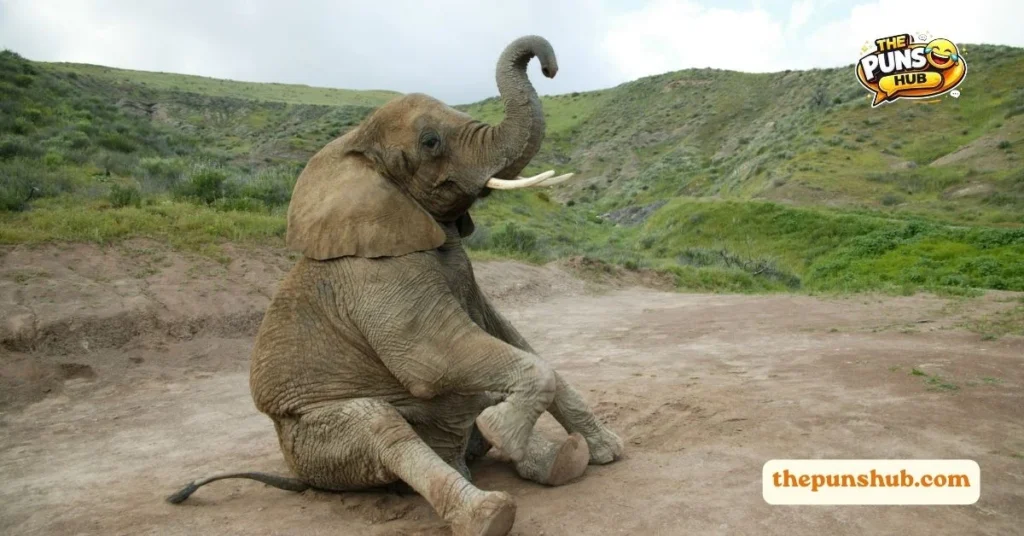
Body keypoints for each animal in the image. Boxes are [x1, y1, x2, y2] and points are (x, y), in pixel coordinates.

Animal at [165, 35, 623, 536]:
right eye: (430, 141)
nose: (549, 66)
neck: (353, 146)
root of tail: (299, 476)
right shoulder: (376, 273)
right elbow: (432, 357)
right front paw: (502, 428)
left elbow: (512, 339)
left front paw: (608, 452)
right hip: (317, 440)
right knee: (381, 428)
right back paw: (488, 513)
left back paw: (563, 460)